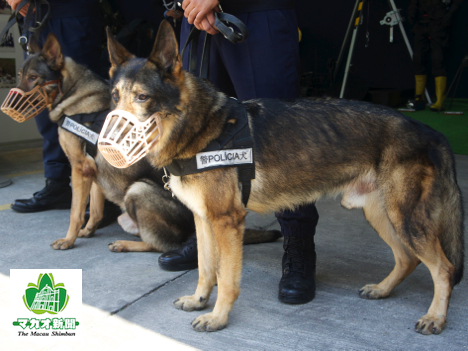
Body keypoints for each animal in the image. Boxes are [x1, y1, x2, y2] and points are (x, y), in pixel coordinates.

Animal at [17, 33, 282, 253]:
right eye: (20, 76)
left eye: (33, 78)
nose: (15, 93)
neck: (73, 91)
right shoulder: (92, 171)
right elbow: (95, 209)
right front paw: (87, 231)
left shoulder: (79, 168)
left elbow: (75, 212)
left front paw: (69, 239)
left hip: (138, 190)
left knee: (161, 245)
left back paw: (127, 245)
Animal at [107, 22, 464, 336]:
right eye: (114, 97)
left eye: (142, 97)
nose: (108, 144)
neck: (198, 125)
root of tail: (431, 132)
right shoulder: (203, 219)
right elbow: (205, 268)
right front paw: (199, 300)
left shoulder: (227, 222)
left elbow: (226, 278)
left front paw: (218, 318)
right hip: (380, 214)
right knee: (407, 258)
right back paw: (383, 289)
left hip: (404, 219)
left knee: (443, 268)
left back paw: (435, 317)